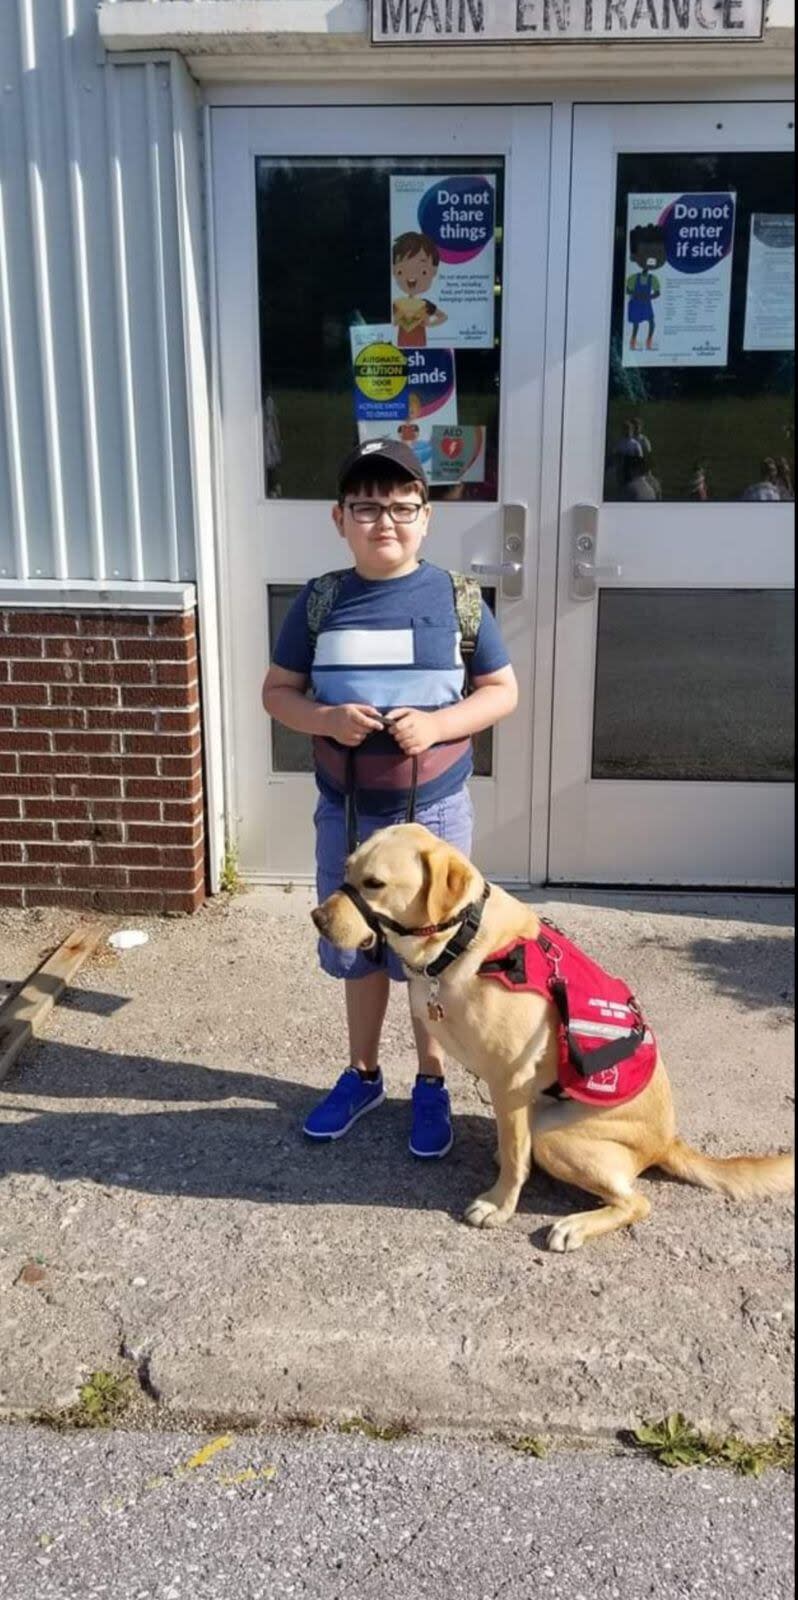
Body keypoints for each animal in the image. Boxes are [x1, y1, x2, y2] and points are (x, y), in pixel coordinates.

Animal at [315, 825, 796, 1248]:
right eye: (347, 869)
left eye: (375, 884)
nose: (316, 917)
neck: (460, 940)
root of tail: (667, 1142)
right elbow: (511, 1148)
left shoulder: (510, 1082)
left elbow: (514, 1156)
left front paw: (499, 1205)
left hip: (555, 1135)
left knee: (635, 1201)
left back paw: (574, 1226)